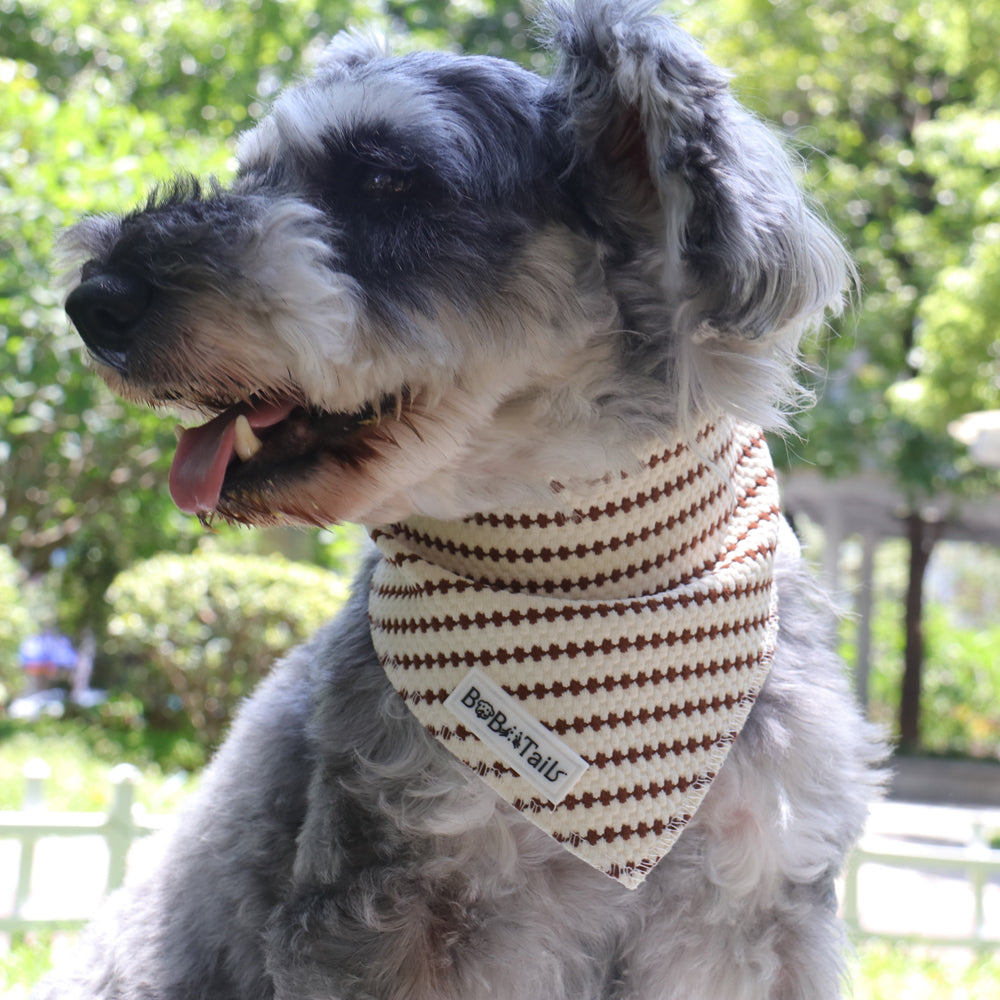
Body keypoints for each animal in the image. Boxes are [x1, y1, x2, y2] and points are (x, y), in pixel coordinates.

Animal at [45, 3, 884, 996]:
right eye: (256, 175)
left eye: (384, 178)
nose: (95, 301)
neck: (575, 573)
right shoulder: (392, 902)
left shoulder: (749, 912)